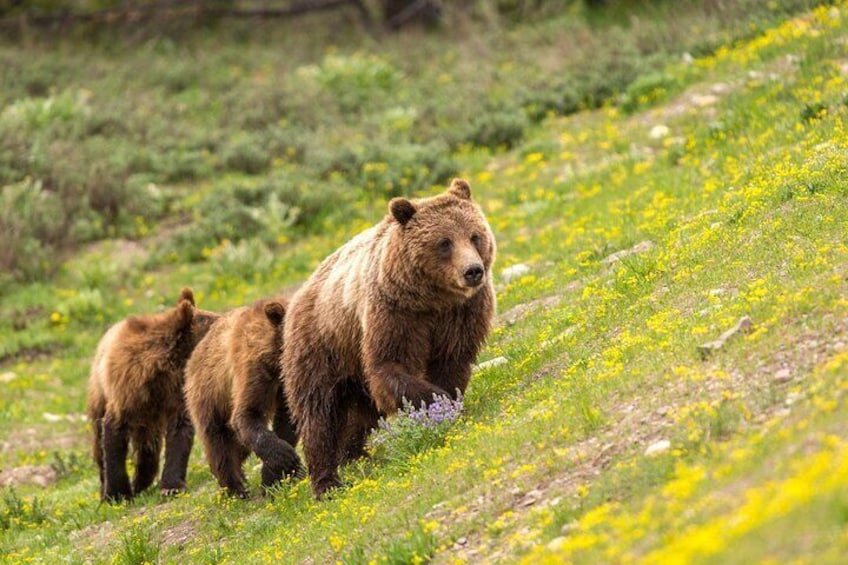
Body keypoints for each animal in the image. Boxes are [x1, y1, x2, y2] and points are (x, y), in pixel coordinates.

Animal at [85, 288, 219, 500]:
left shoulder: (175, 394)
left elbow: (179, 434)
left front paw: (171, 486)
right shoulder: (124, 390)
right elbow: (113, 435)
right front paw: (117, 493)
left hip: (148, 419)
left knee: (148, 446)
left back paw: (142, 481)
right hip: (100, 393)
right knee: (99, 440)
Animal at [184, 298, 304, 496]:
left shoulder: (286, 382)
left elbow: (287, 420)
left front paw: (273, 477)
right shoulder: (253, 368)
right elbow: (248, 414)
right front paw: (285, 457)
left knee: (237, 445)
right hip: (209, 396)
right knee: (219, 443)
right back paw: (234, 488)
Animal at [284, 178, 496, 496]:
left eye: (475, 236)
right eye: (444, 242)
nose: (473, 271)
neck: (433, 300)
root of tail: (300, 292)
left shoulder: (461, 314)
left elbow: (452, 362)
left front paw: (448, 403)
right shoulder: (395, 314)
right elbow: (390, 366)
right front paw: (438, 400)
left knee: (359, 413)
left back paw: (353, 453)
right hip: (320, 345)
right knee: (318, 413)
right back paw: (327, 481)